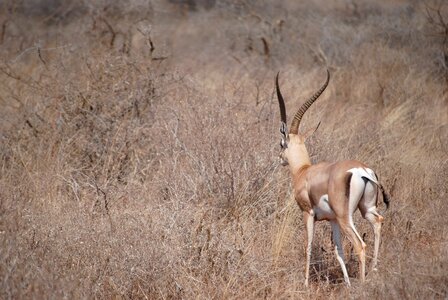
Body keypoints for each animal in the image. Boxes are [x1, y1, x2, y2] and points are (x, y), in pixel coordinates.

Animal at [274, 69, 386, 286]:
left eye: (281, 143)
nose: (279, 159)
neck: (304, 171)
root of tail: (362, 170)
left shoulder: (308, 213)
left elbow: (308, 246)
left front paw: (305, 283)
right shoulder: (332, 219)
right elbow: (338, 251)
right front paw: (347, 284)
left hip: (346, 217)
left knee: (360, 245)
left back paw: (363, 283)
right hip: (365, 210)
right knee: (377, 223)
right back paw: (374, 272)